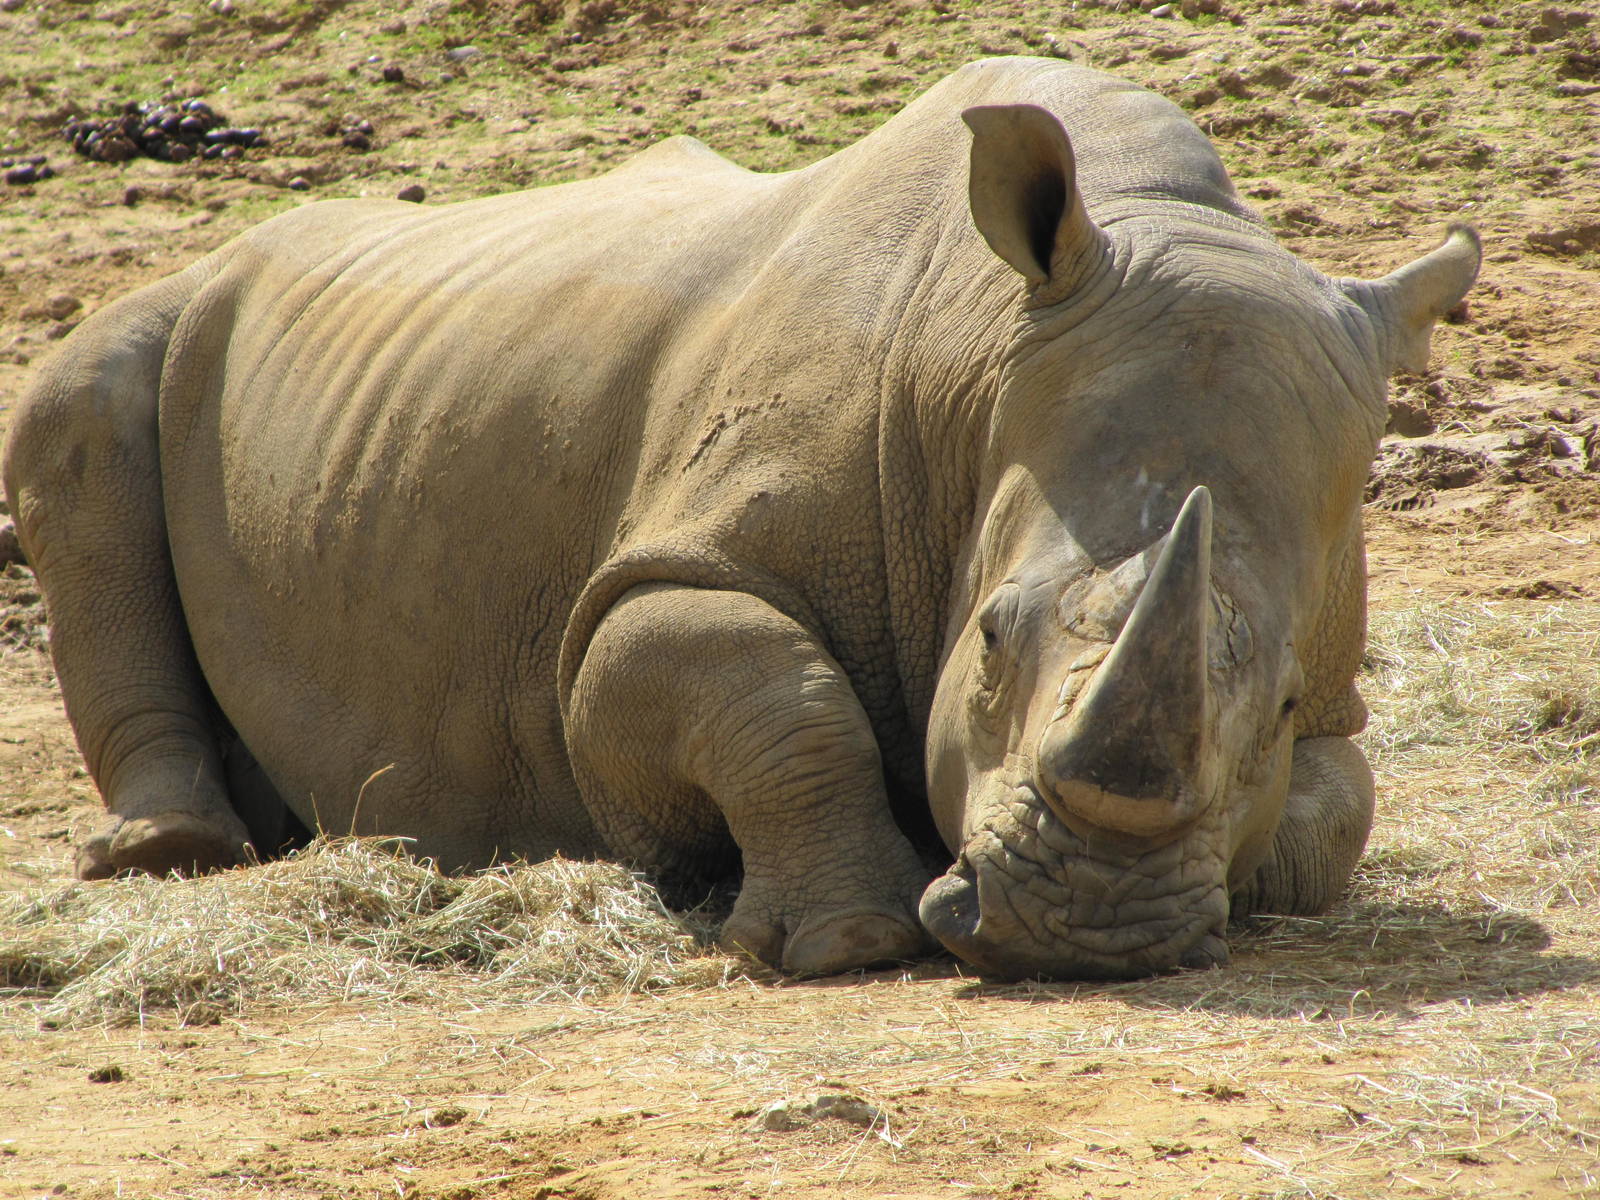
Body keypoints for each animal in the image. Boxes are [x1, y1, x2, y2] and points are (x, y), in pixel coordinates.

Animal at [2, 58, 1478, 979]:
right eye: (990, 642)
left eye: (1278, 704)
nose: (1088, 932)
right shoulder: (644, 586)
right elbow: (751, 682)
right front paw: (844, 949)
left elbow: (1333, 814)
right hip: (165, 312)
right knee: (84, 407)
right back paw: (173, 855)